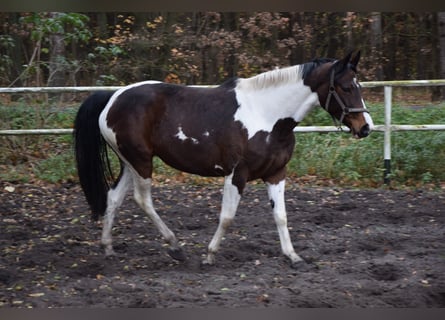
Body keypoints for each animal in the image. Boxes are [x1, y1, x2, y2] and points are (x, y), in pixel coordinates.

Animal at [74, 50, 372, 268]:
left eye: (359, 86)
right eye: (346, 87)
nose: (365, 127)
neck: (268, 115)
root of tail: (112, 97)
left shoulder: (276, 173)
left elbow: (281, 216)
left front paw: (293, 256)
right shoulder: (237, 174)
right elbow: (227, 217)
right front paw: (210, 254)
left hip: (130, 163)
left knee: (114, 198)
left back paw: (108, 248)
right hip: (141, 162)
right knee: (142, 200)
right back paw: (175, 246)